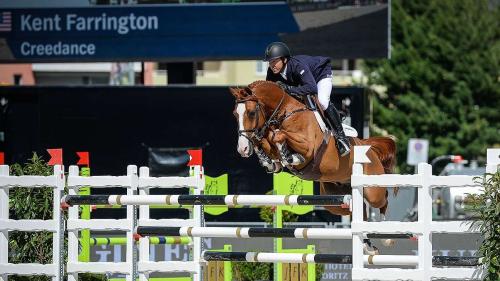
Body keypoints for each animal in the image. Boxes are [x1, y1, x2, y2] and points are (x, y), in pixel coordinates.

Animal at [230, 81, 398, 221]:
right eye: (235, 114)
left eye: (251, 113)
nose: (242, 149)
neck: (287, 112)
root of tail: (368, 148)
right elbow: (265, 140)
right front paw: (269, 160)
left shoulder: (309, 147)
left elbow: (279, 135)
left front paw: (289, 157)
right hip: (335, 200)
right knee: (357, 209)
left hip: (372, 191)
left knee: (383, 199)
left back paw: (384, 226)